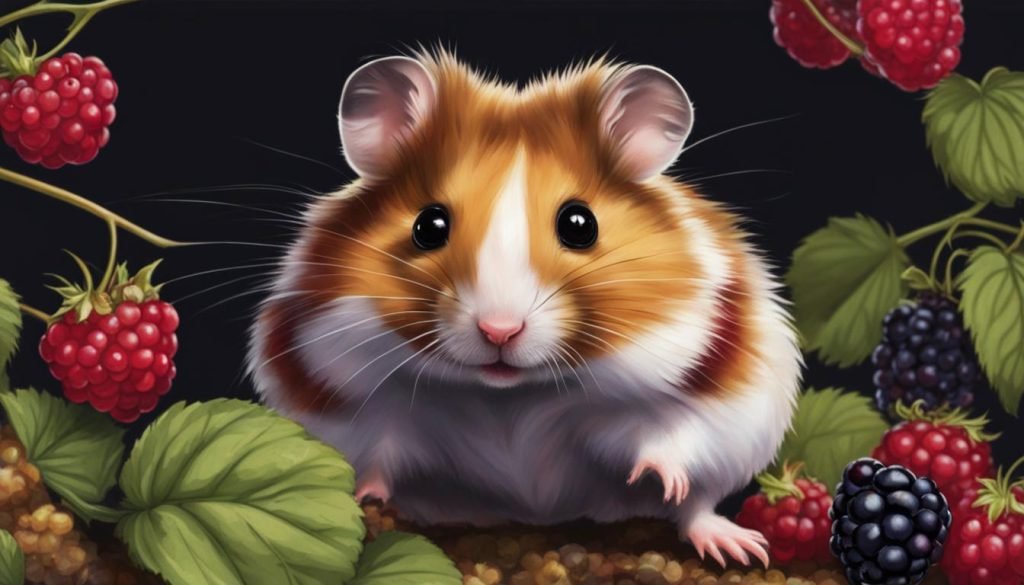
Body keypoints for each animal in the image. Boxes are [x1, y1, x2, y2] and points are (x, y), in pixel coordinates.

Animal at [248, 50, 802, 566]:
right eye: (428, 225)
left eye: (580, 224)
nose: (499, 331)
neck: (511, 398)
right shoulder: (360, 408)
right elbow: (379, 455)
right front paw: (365, 499)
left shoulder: (703, 401)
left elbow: (667, 441)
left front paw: (659, 480)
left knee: (698, 510)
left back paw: (739, 547)